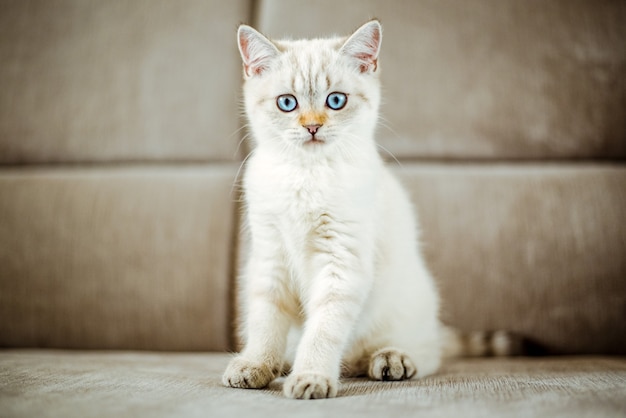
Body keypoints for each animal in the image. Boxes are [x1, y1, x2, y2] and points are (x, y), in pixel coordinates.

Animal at [221, 20, 444, 402]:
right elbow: (266, 321)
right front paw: (256, 364)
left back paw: (392, 359)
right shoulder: (270, 259)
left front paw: (311, 376)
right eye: (287, 103)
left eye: (335, 100)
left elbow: (323, 328)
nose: (312, 126)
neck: (306, 175)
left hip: (409, 304)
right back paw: (283, 363)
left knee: (428, 351)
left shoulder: (340, 261)